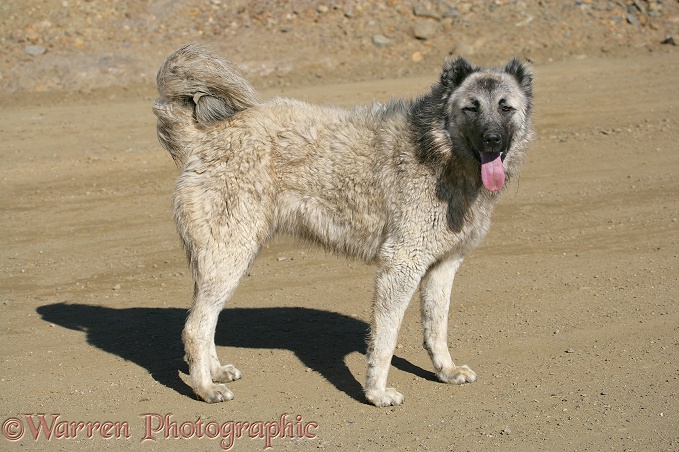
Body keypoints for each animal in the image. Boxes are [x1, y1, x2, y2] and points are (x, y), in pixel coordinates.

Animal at [154, 44, 536, 408]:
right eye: (471, 108)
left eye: (506, 108)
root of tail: (203, 138)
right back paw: (204, 388)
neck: (438, 151)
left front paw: (446, 371)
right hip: (229, 256)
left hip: (225, 260)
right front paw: (376, 393)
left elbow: (436, 329)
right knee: (195, 328)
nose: (492, 140)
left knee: (205, 322)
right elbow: (385, 339)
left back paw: (215, 372)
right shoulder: (400, 264)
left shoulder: (443, 266)